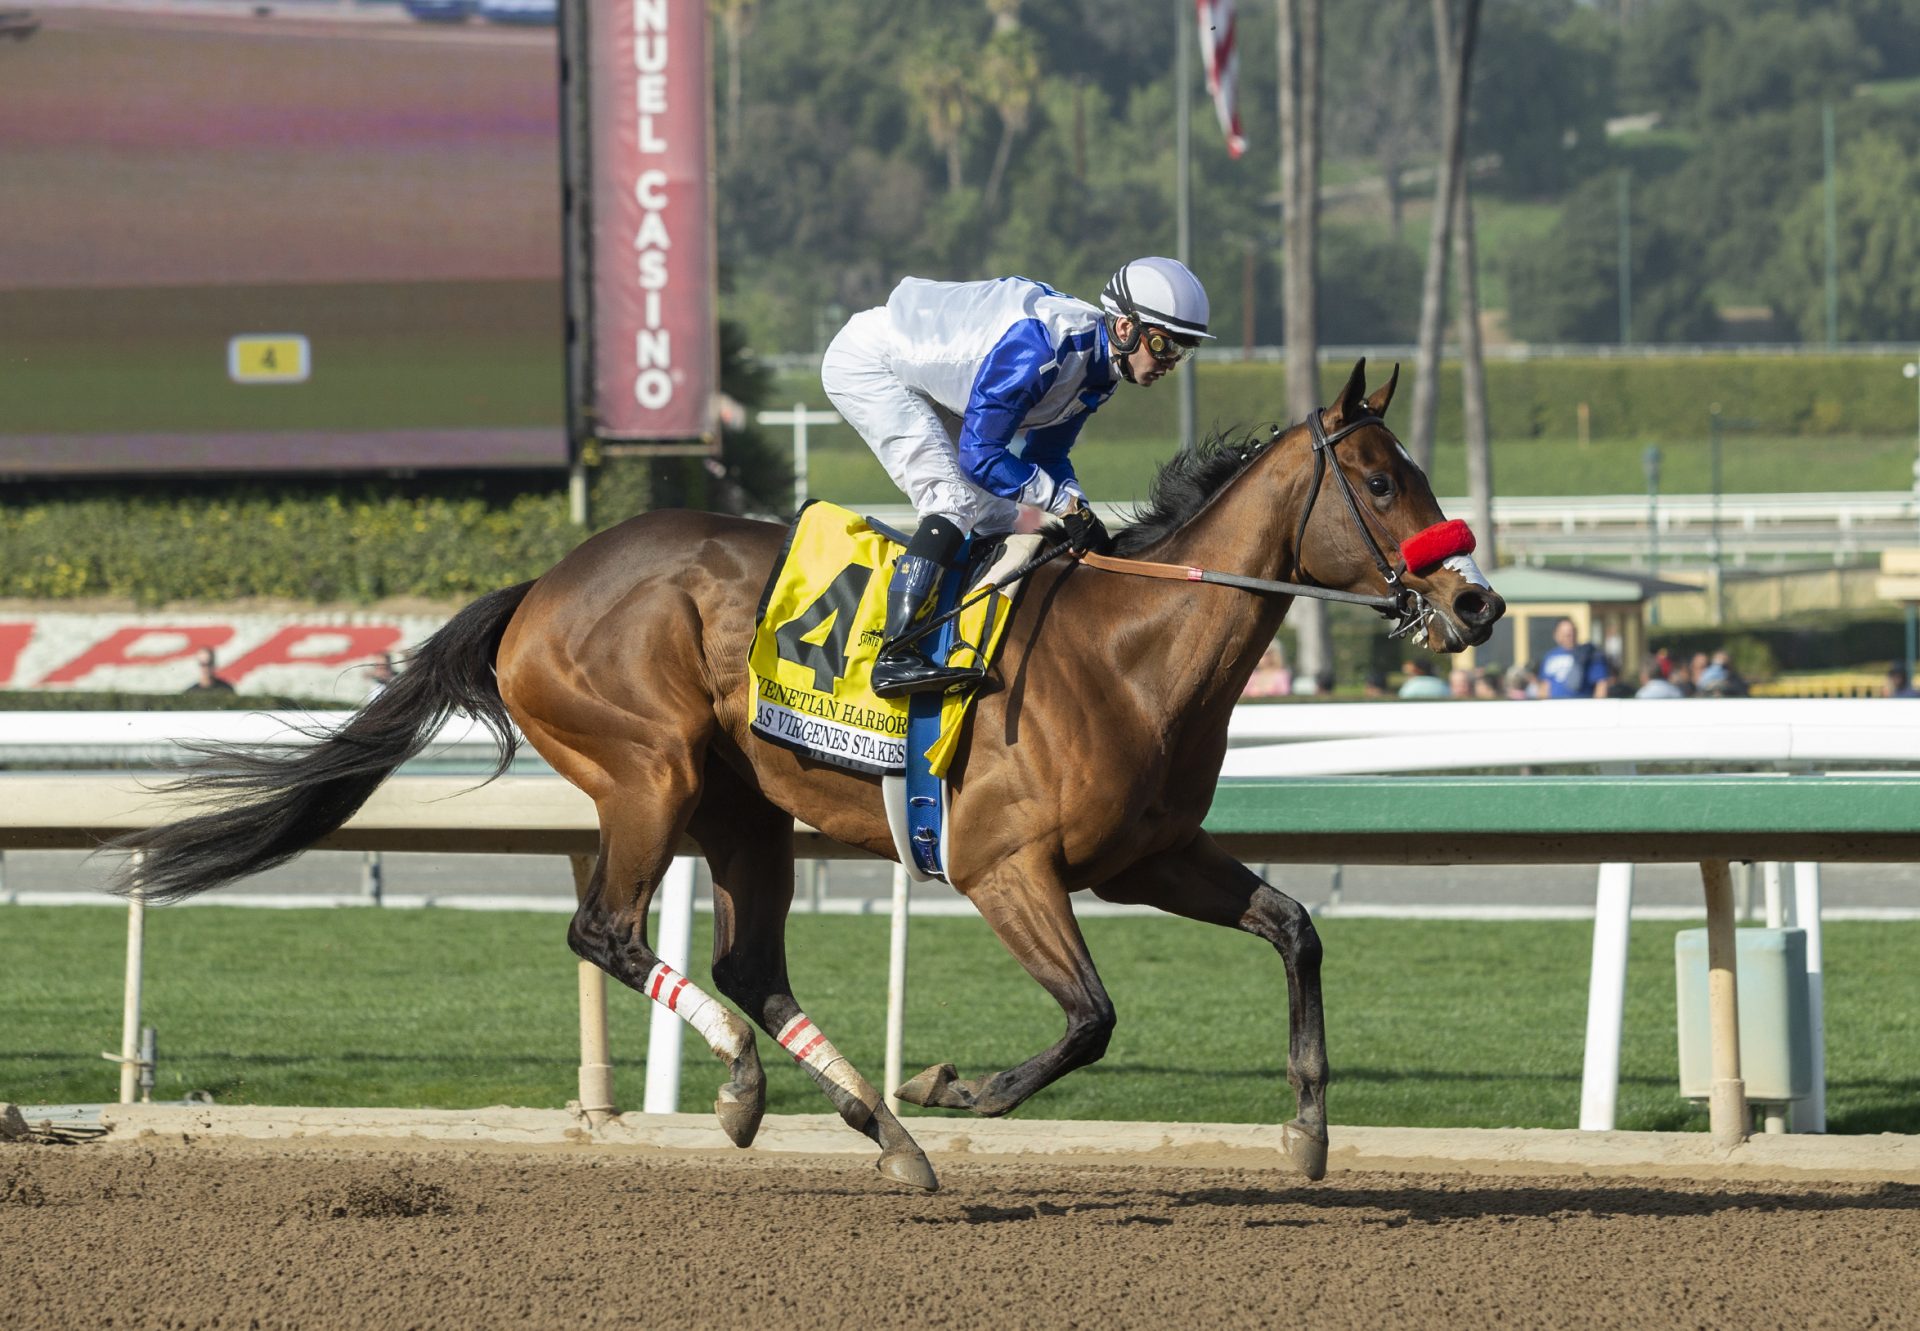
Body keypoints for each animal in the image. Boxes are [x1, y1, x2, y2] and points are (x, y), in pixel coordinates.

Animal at [112, 355, 1505, 1190]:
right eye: (1381, 479)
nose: (1478, 602)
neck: (1131, 648)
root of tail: (542, 586)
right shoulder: (1004, 866)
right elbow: (1092, 1017)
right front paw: (959, 1083)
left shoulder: (1150, 856)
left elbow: (1296, 925)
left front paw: (1309, 1129)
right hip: (650, 770)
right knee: (605, 928)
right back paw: (757, 1085)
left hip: (745, 811)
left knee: (745, 960)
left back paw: (877, 1131)